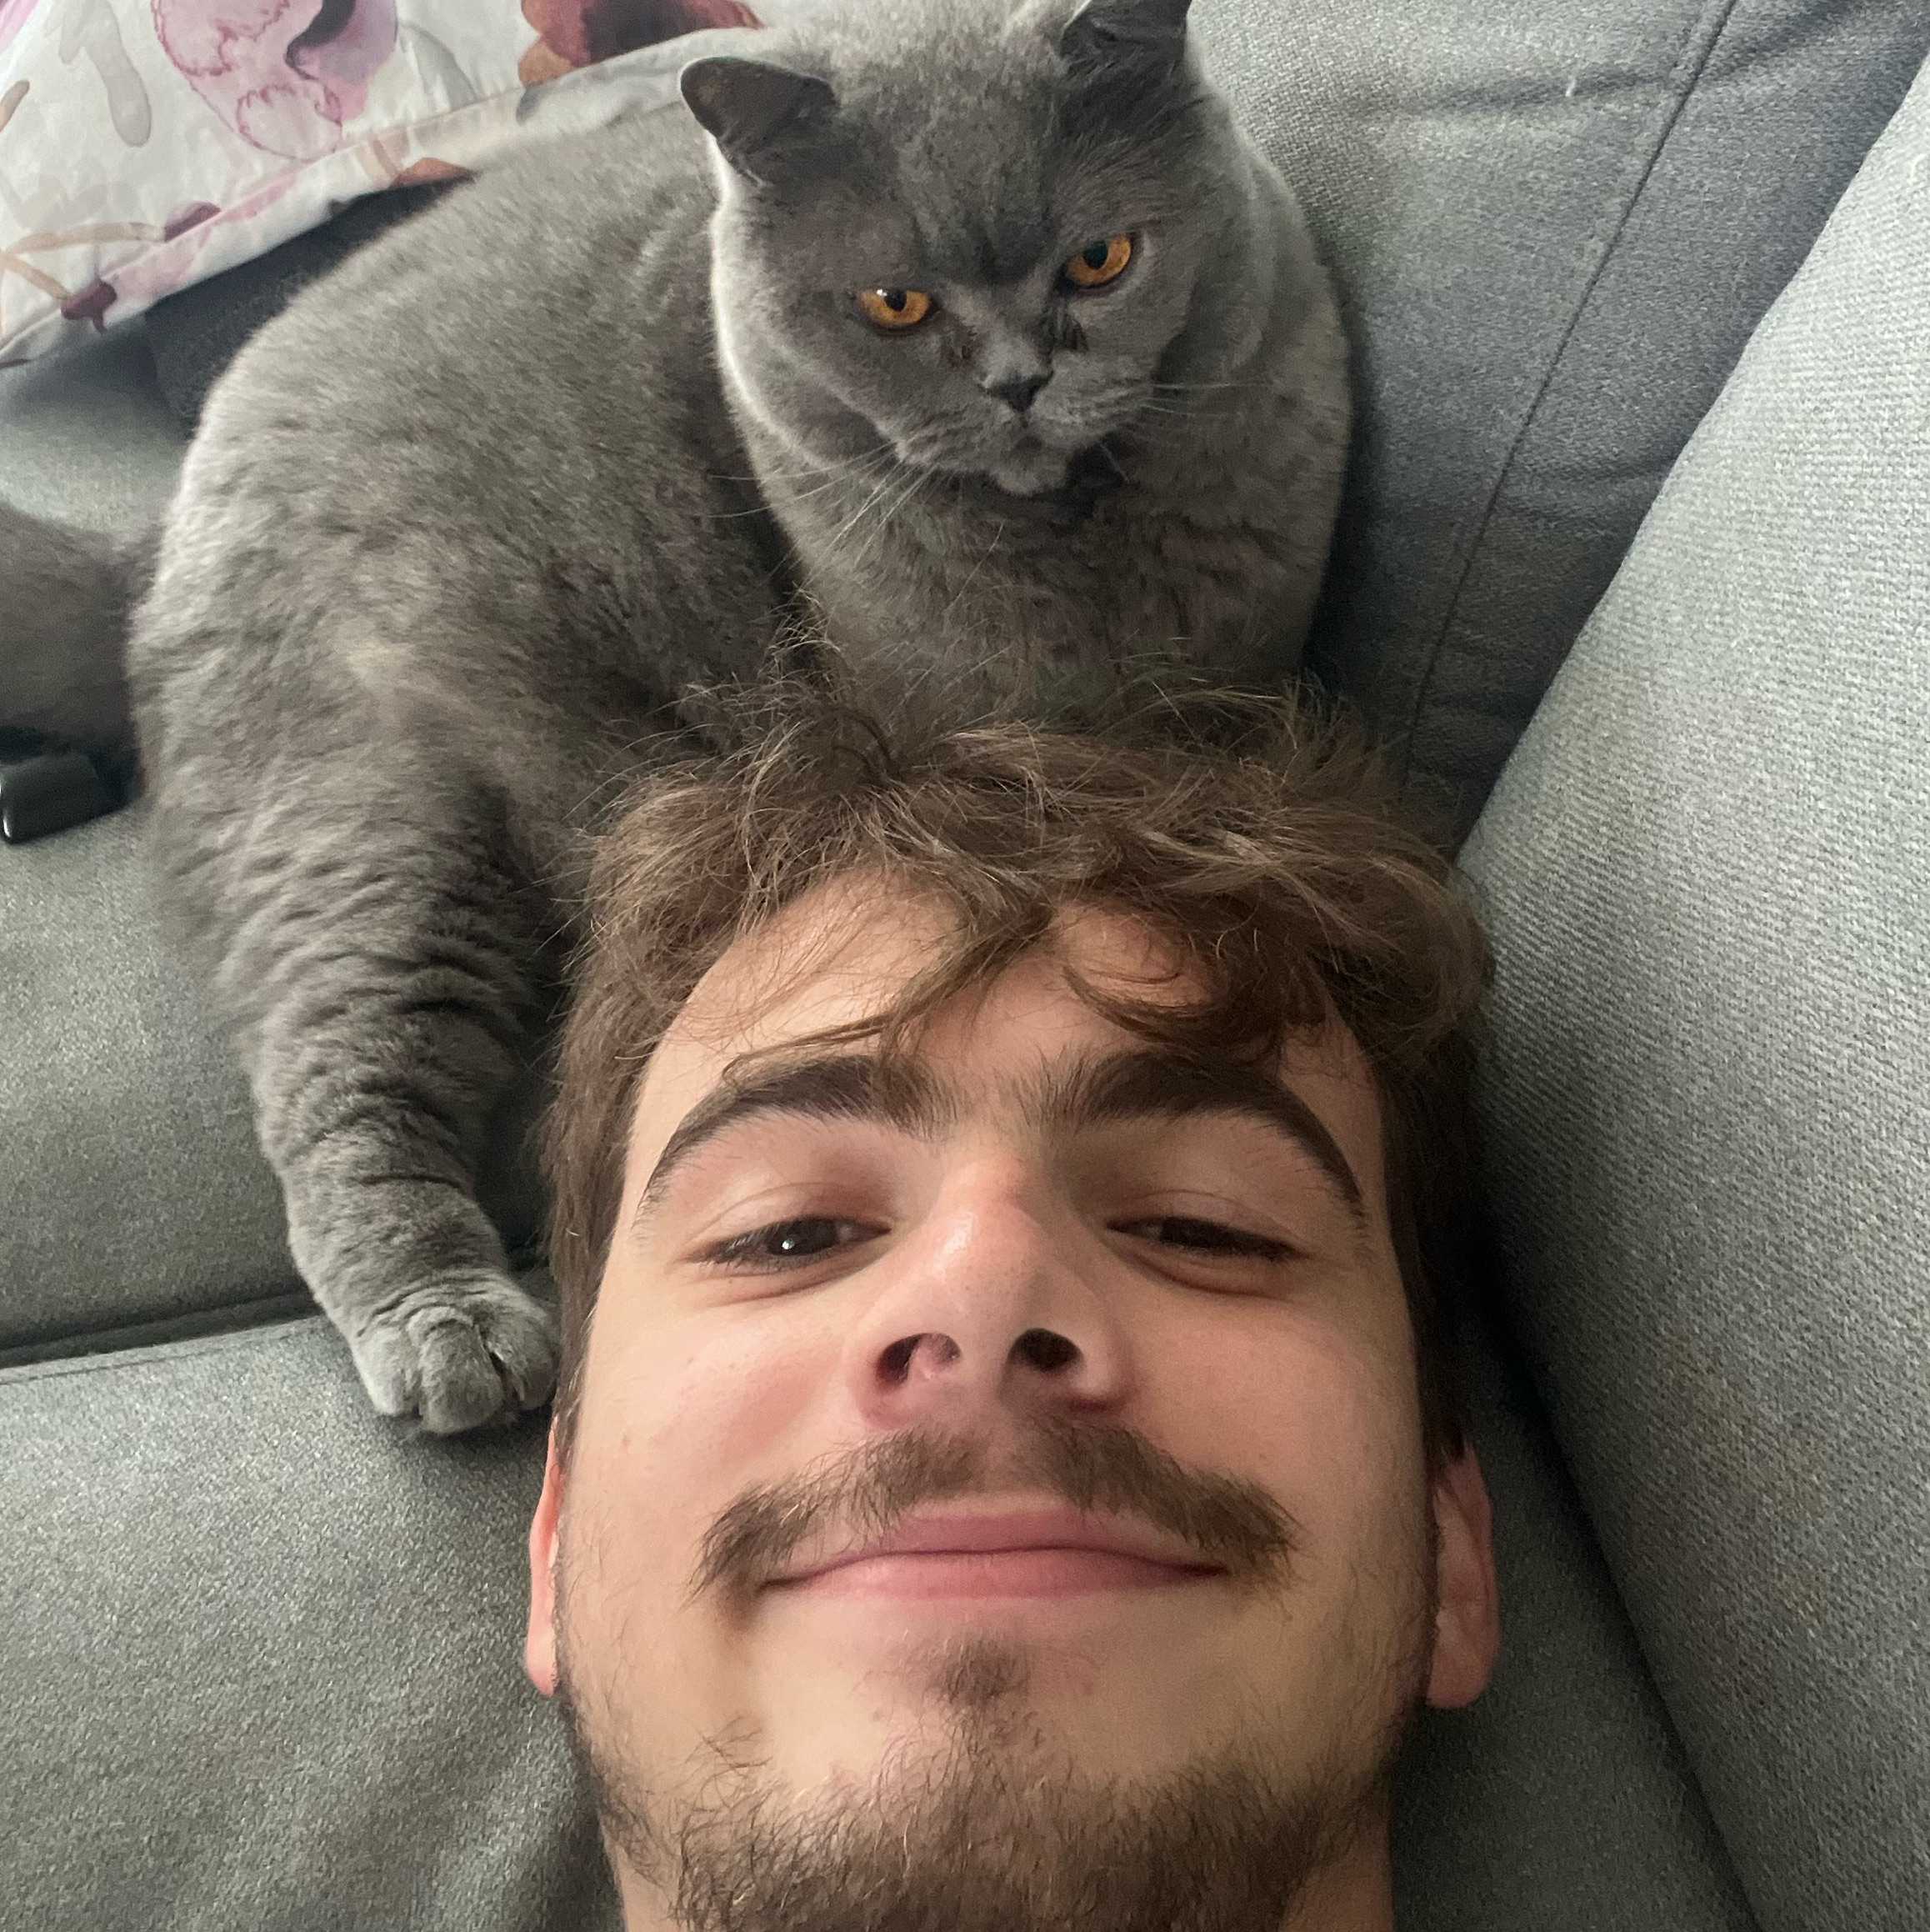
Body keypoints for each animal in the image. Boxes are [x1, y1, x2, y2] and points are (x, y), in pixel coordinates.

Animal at [0, 0, 1349, 1434]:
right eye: (896, 303)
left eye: (1102, 260)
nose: (1020, 382)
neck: (1081, 562)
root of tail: (164, 526)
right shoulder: (933, 738)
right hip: (369, 821)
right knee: (340, 1080)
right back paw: (452, 1333)